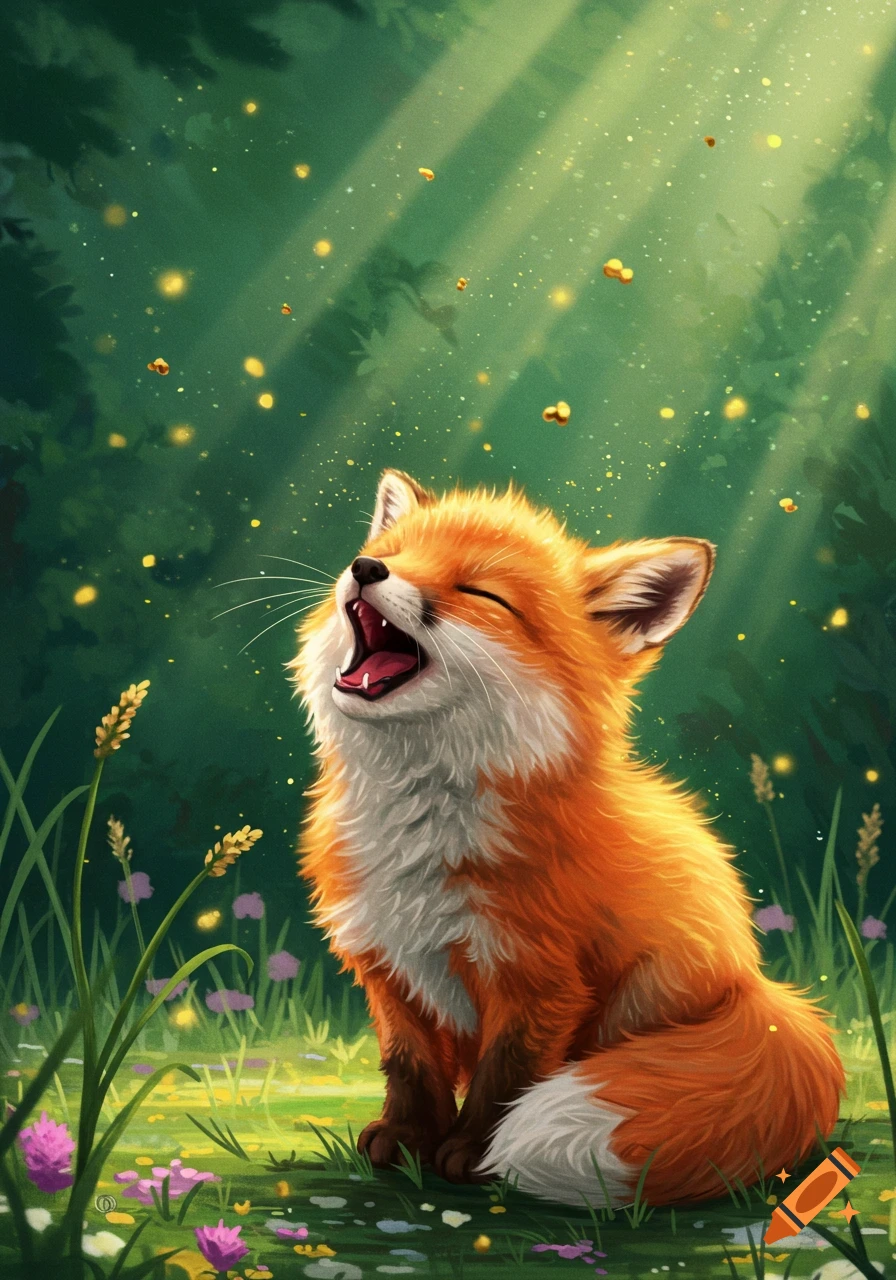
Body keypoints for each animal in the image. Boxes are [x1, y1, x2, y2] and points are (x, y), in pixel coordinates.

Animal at [292, 468, 844, 1207]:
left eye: (481, 594)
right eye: (396, 554)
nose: (365, 568)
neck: (420, 820)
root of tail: (756, 984)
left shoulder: (539, 978)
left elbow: (506, 1079)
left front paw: (473, 1153)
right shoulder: (388, 963)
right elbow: (408, 1065)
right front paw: (405, 1140)